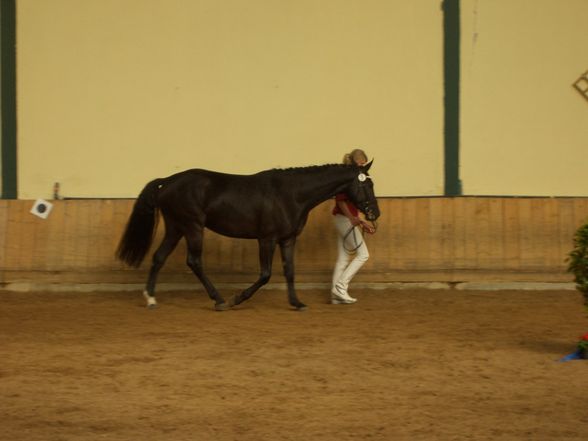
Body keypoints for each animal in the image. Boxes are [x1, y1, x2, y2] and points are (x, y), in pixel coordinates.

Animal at [115, 162, 382, 310]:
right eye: (367, 185)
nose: (374, 213)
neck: (291, 194)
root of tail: (168, 181)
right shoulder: (267, 239)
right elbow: (265, 275)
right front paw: (238, 299)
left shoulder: (287, 239)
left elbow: (290, 271)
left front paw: (297, 303)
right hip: (192, 227)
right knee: (194, 261)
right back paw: (220, 300)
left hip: (176, 227)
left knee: (159, 257)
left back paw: (151, 299)